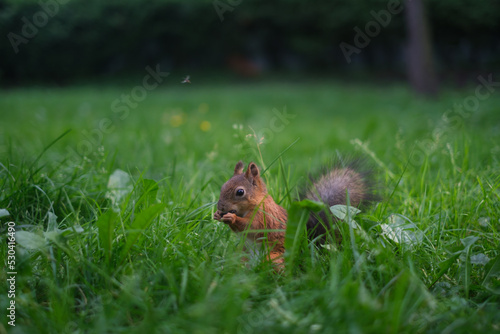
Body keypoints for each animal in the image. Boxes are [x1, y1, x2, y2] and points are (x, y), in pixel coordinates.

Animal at [214, 160, 376, 268]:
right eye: (223, 186)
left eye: (240, 192)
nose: (221, 207)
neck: (254, 204)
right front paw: (217, 215)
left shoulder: (264, 216)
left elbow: (251, 226)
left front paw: (231, 218)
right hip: (242, 256)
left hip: (276, 257)